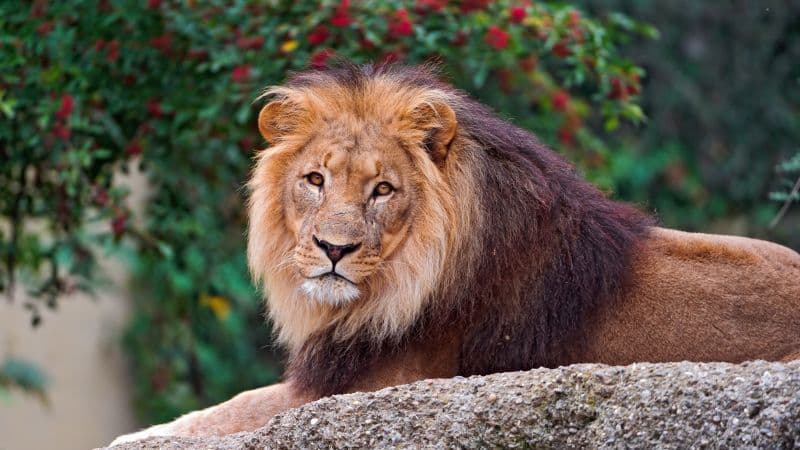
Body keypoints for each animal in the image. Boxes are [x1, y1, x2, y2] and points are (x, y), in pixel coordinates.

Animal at [110, 63, 800, 445]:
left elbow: (231, 410)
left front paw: (142, 433)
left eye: (383, 190)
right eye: (315, 180)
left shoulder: (369, 389)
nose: (334, 248)